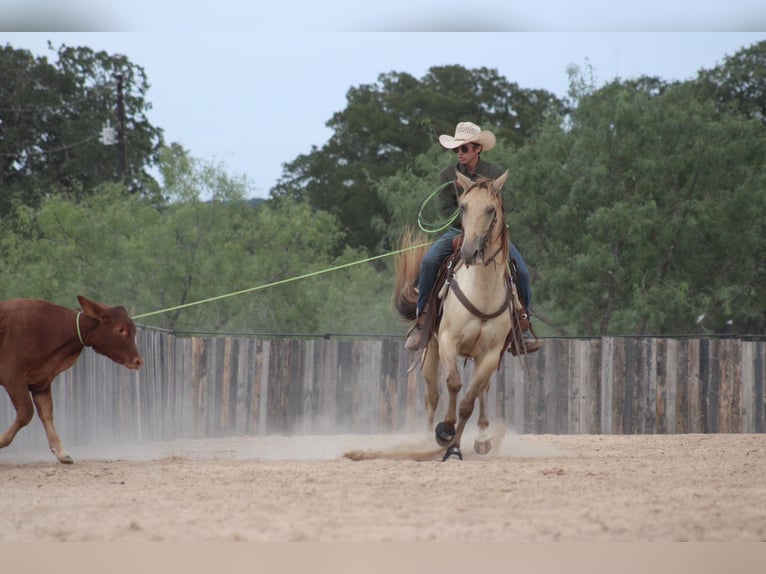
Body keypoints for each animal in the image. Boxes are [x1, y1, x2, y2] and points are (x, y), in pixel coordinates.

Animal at [394, 169, 522, 461]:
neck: (482, 292)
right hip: (430, 351)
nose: (469, 251)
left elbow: (468, 402)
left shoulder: (490, 354)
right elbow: (453, 384)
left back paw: (482, 438)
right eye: (462, 207)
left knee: (482, 391)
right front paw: (445, 431)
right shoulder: (447, 342)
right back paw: (426, 440)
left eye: (491, 209)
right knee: (432, 397)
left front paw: (453, 446)